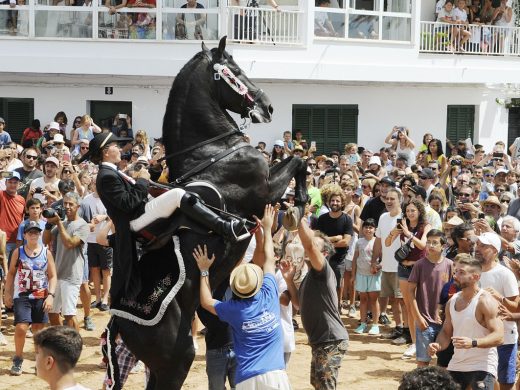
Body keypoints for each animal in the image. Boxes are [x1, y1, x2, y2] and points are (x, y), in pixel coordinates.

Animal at [108, 37, 306, 390]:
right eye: (235, 70)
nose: (267, 106)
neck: (211, 152)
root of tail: (121, 321)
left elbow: (299, 160)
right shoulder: (264, 187)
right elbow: (299, 160)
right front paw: (299, 204)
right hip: (177, 358)